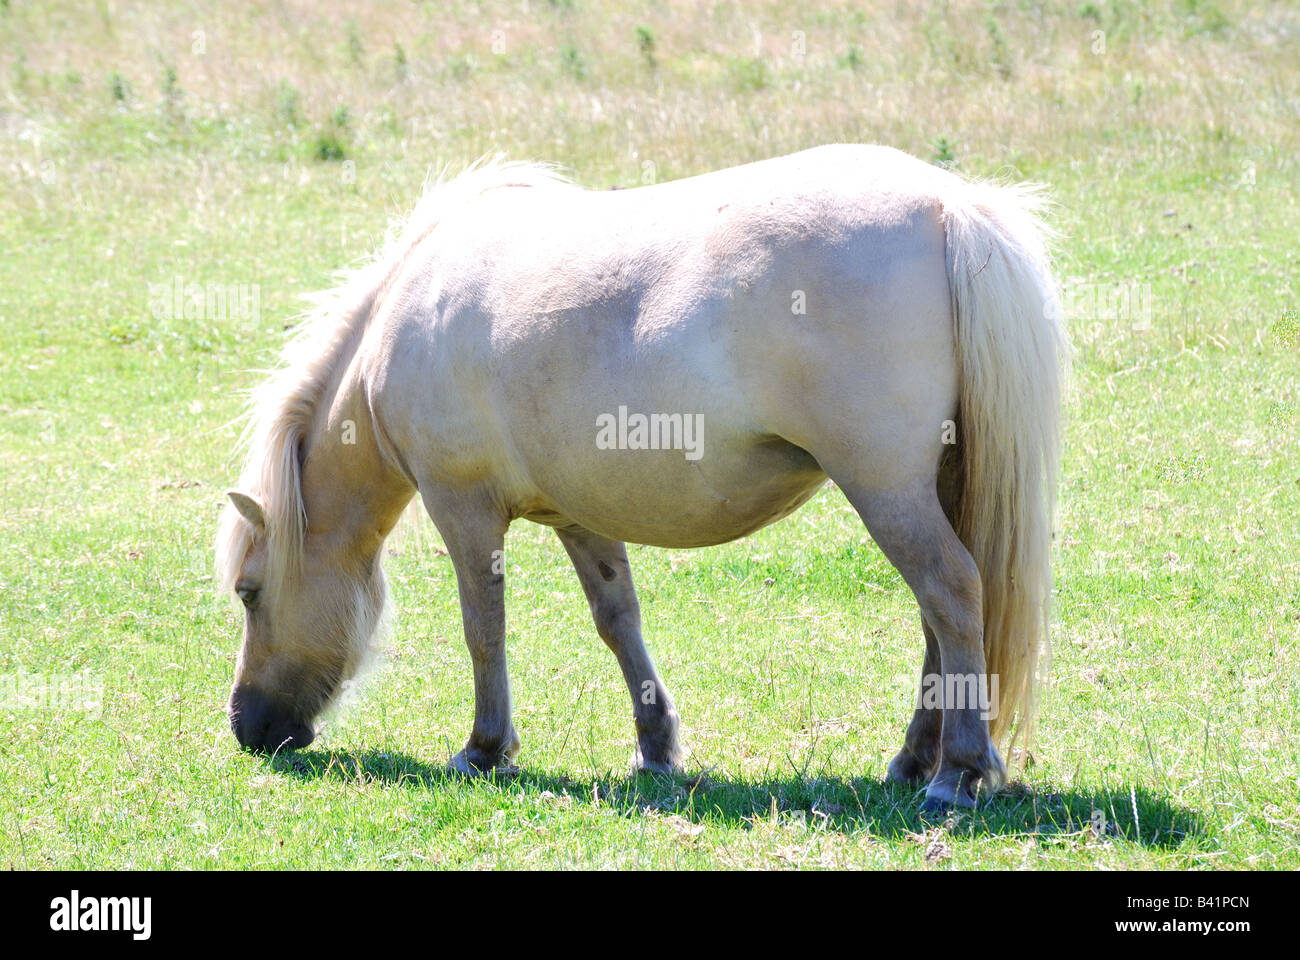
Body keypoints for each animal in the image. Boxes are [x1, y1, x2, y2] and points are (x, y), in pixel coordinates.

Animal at [215, 145, 1066, 806]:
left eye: (249, 592)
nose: (247, 727)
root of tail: (947, 203)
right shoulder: (578, 516)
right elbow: (618, 622)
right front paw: (656, 749)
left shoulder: (464, 509)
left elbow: (483, 629)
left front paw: (484, 748)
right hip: (930, 489)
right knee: (941, 616)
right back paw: (913, 760)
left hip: (885, 490)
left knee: (952, 595)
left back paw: (955, 772)